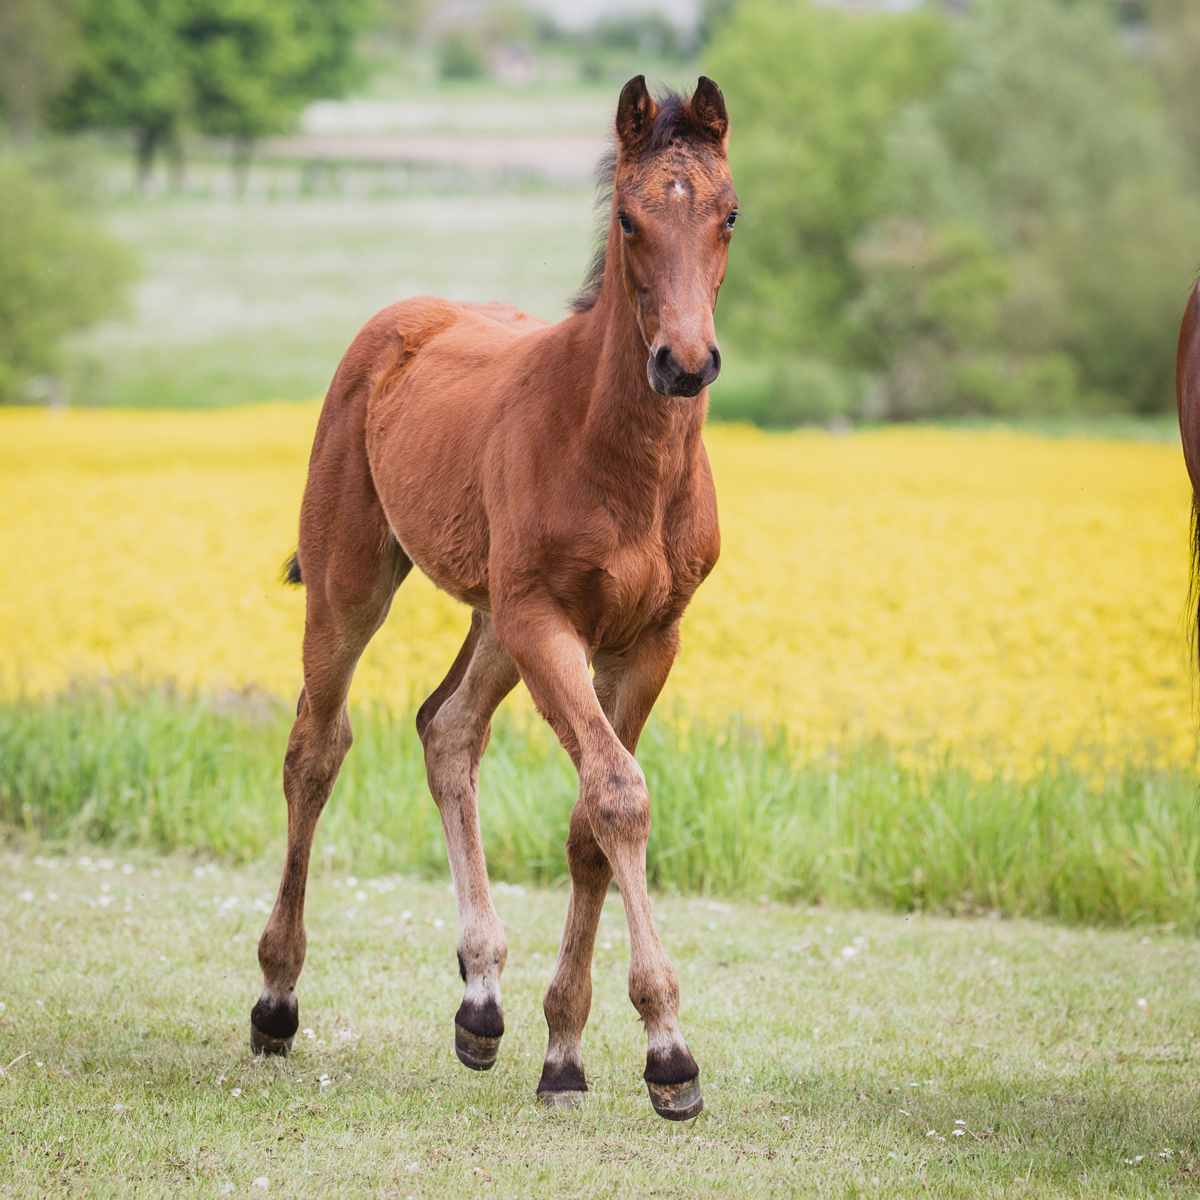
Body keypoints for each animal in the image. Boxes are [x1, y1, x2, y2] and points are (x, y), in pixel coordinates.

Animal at [249, 77, 734, 1123]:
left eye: (728, 214)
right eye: (629, 219)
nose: (683, 362)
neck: (619, 456)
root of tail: (403, 319)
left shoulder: (648, 639)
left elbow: (592, 820)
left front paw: (567, 1050)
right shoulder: (548, 620)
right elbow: (618, 793)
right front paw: (669, 1051)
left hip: (494, 619)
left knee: (447, 729)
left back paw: (481, 1001)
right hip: (361, 586)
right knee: (317, 748)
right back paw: (275, 998)